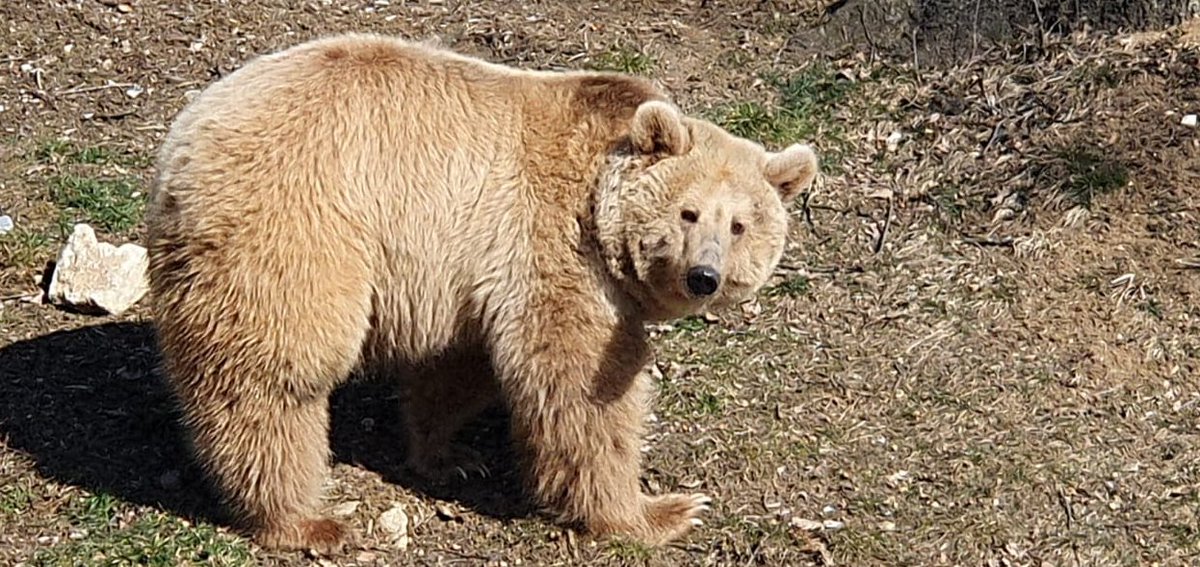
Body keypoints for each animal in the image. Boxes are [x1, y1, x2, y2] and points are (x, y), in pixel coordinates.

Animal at [145, 32, 819, 553]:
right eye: (688, 212)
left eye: (739, 225)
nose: (703, 276)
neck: (596, 202)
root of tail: (180, 149)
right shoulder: (550, 243)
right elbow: (581, 385)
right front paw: (660, 510)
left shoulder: (472, 270)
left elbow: (460, 365)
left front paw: (449, 454)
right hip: (294, 228)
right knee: (277, 377)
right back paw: (302, 518)